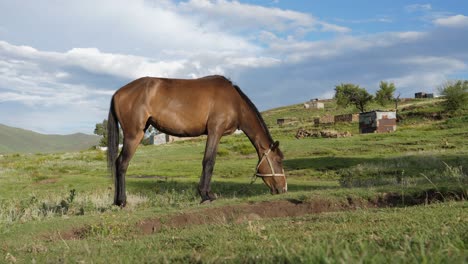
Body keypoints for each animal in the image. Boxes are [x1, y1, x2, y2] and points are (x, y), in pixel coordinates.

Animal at [108, 75, 288, 206]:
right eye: (279, 160)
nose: (284, 188)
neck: (234, 102)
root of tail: (118, 92)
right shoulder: (215, 131)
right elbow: (209, 162)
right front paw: (206, 195)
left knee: (117, 163)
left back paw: (116, 201)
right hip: (134, 135)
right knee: (122, 164)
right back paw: (122, 201)